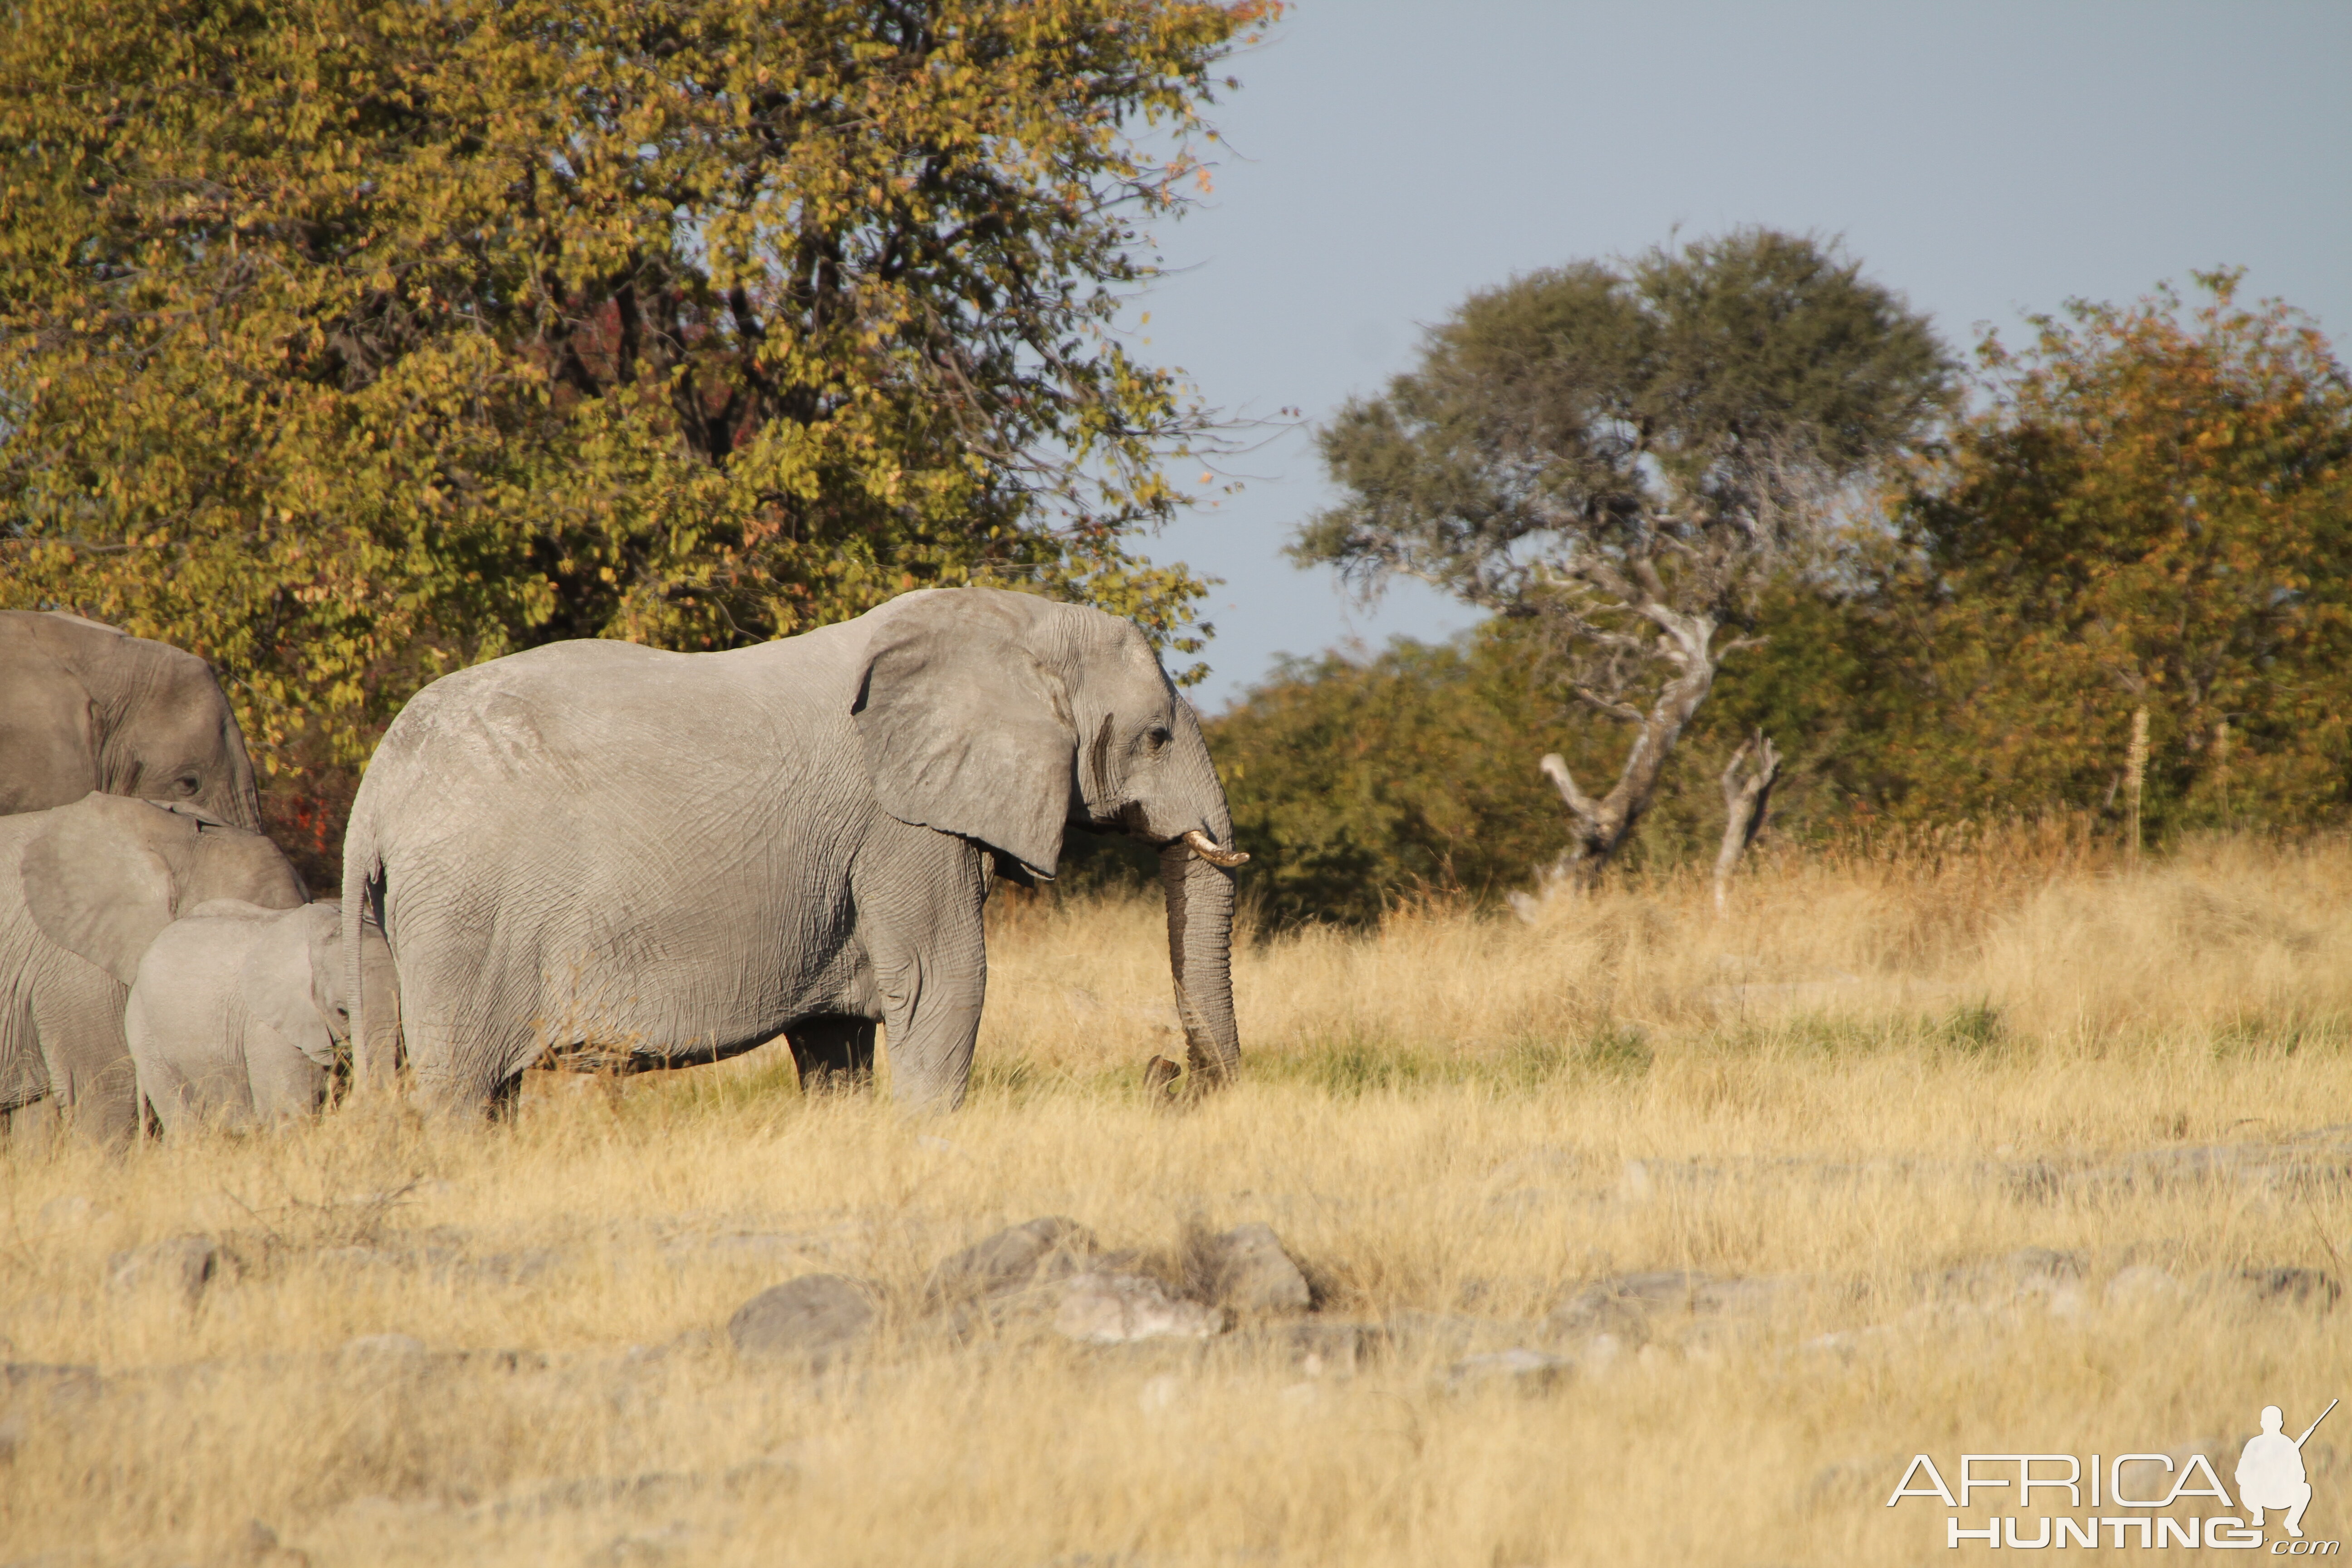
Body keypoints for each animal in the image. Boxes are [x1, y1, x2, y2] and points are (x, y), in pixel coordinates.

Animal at [343, 588, 1251, 1114]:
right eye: (1157, 736)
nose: (1168, 1073)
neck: (1006, 624)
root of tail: (374, 795)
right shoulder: (900, 828)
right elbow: (946, 979)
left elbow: (835, 1035)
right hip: (467, 912)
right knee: (462, 1089)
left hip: (402, 918)